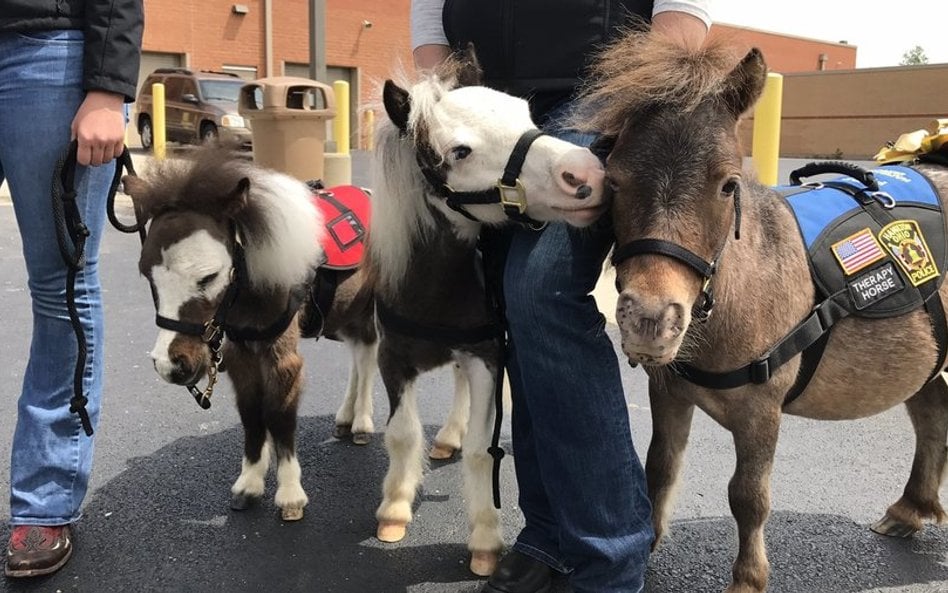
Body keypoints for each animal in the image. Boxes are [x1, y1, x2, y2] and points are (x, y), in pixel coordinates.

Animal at [123, 150, 378, 520]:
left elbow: (279, 415)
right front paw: (250, 483)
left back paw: (361, 423)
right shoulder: (241, 352)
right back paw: (346, 418)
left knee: (368, 354)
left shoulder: (281, 355)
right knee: (359, 355)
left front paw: (290, 495)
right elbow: (252, 413)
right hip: (347, 312)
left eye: (208, 276)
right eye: (146, 274)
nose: (170, 364)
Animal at [370, 54, 608, 572]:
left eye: (528, 116)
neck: (432, 290)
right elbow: (401, 434)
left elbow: (482, 449)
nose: (587, 174)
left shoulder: (485, 355)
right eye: (459, 151)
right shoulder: (391, 358)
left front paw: (484, 538)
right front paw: (395, 507)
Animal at [576, 33, 948, 592]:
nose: (649, 319)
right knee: (931, 414)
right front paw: (646, 551)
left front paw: (748, 579)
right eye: (613, 182)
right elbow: (660, 466)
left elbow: (748, 496)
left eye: (728, 184)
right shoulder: (669, 392)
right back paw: (909, 509)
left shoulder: (761, 410)